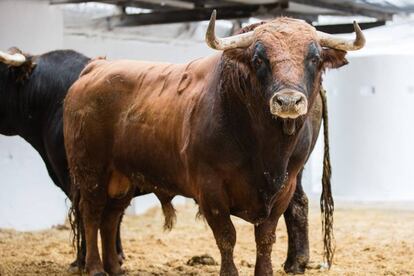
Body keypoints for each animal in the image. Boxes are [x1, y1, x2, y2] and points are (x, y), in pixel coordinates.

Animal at [63, 12, 364, 276]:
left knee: (111, 217)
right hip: (91, 173)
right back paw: (95, 267)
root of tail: (95, 68)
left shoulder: (284, 189)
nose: (288, 101)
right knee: (92, 214)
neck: (263, 150)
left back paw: (114, 267)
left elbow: (265, 238)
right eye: (259, 59)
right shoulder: (210, 190)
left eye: (314, 57)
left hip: (123, 178)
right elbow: (226, 237)